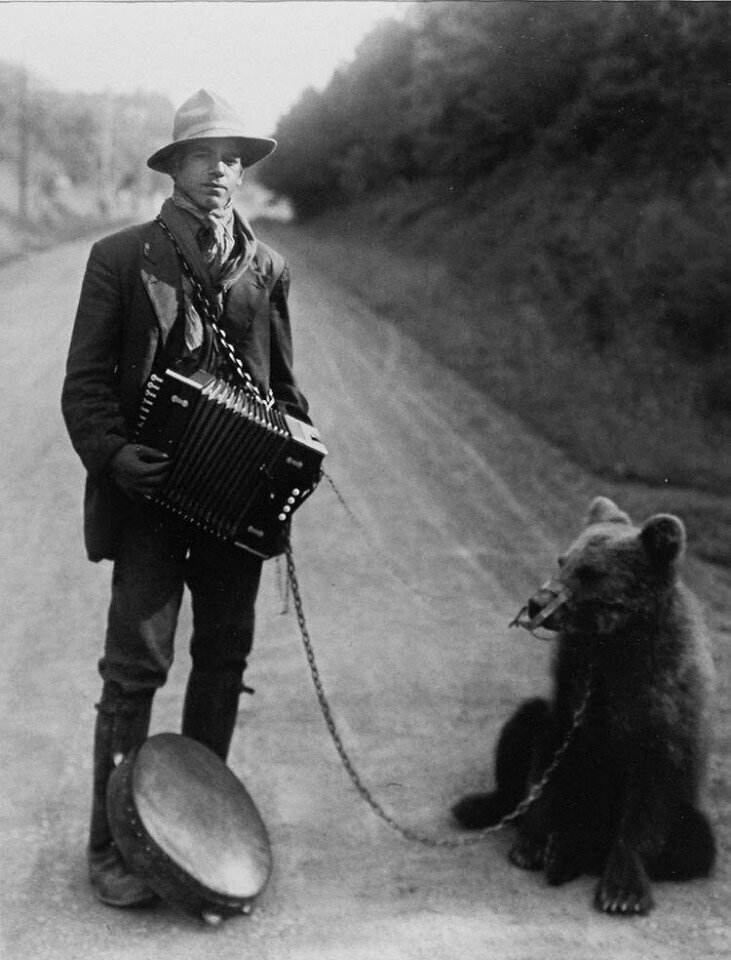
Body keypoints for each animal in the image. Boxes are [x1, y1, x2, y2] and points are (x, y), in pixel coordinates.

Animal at [454, 496, 716, 916]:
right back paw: (487, 810)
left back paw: (571, 852)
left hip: (686, 814)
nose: (536, 602)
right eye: (563, 560)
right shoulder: (574, 684)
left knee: (695, 843)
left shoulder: (659, 706)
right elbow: (550, 752)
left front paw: (622, 892)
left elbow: (648, 798)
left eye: (591, 572)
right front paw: (532, 845)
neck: (613, 640)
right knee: (523, 725)